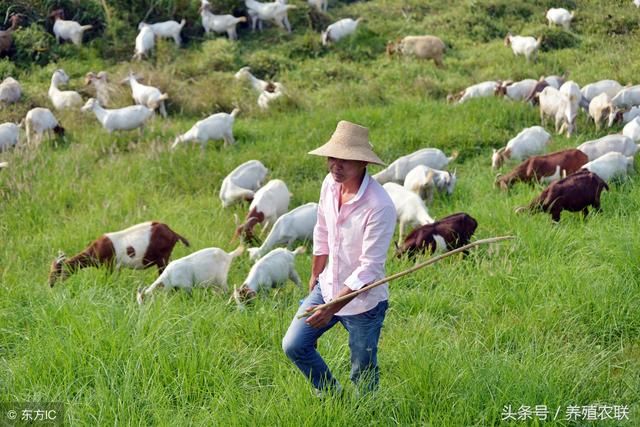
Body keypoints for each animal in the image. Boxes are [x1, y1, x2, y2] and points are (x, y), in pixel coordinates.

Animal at [48, 221, 189, 288]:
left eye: (55, 272)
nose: (50, 284)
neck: (94, 249)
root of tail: (173, 233)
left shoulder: (109, 265)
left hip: (162, 257)